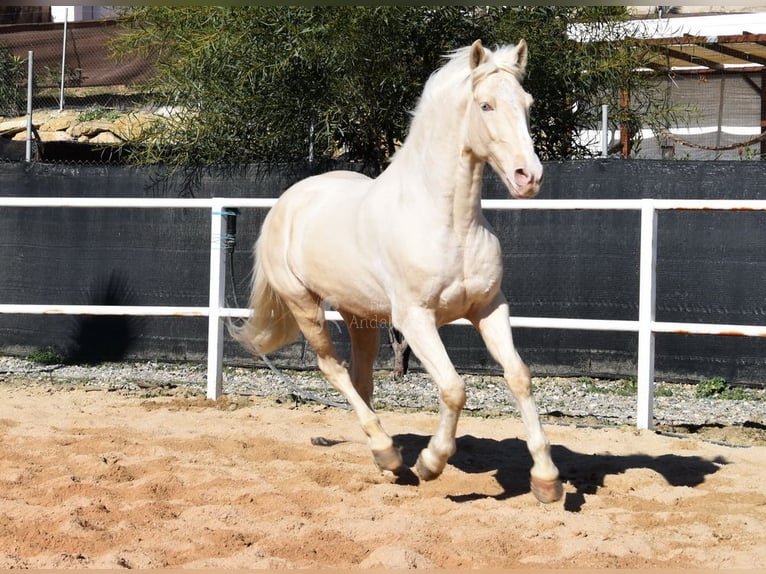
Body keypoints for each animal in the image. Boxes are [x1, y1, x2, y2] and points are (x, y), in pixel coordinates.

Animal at [230, 39, 564, 504]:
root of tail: (288, 202)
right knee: (333, 369)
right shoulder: (415, 318)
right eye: (486, 105)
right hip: (304, 305)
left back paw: (382, 454)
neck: (450, 223)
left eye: (528, 104)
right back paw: (389, 453)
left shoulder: (489, 308)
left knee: (361, 377)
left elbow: (519, 376)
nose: (528, 177)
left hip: (359, 315)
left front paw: (547, 480)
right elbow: (454, 388)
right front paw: (431, 462)